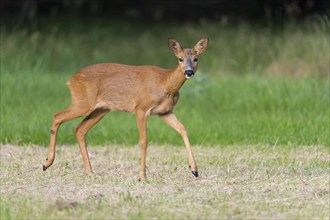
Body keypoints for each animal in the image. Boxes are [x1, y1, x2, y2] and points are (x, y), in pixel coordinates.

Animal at [43, 37, 209, 180]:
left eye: (196, 59)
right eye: (180, 58)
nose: (189, 72)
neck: (165, 84)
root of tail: (71, 80)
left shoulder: (165, 112)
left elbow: (183, 129)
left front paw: (194, 169)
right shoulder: (140, 108)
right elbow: (143, 141)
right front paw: (142, 177)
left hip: (101, 109)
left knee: (80, 129)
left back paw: (90, 172)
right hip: (83, 102)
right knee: (57, 116)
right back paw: (47, 162)